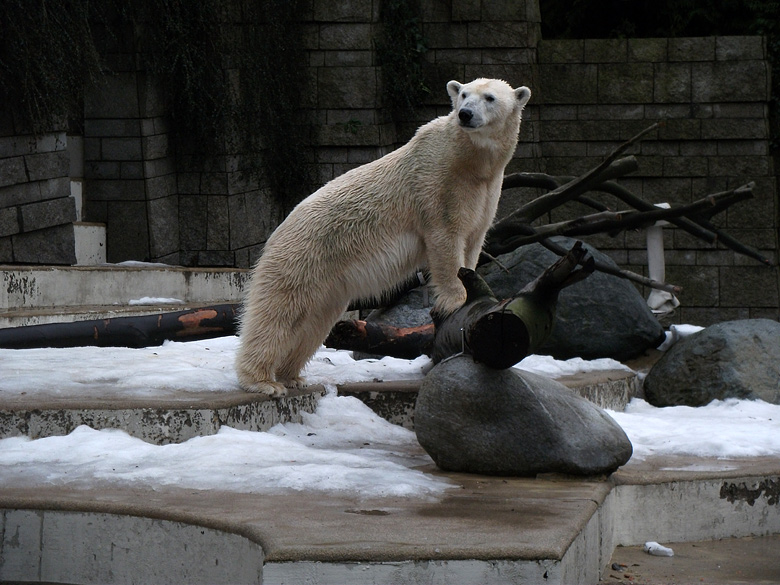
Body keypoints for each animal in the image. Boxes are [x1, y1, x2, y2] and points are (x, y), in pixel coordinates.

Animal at [236, 77, 532, 394]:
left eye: (489, 97)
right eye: (463, 95)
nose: (465, 114)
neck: (469, 160)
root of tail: (277, 232)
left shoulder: (486, 191)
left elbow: (474, 240)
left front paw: (472, 282)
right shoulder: (438, 184)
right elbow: (445, 238)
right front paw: (457, 298)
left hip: (327, 281)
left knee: (314, 322)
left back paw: (292, 376)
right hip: (303, 255)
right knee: (279, 312)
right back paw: (264, 381)